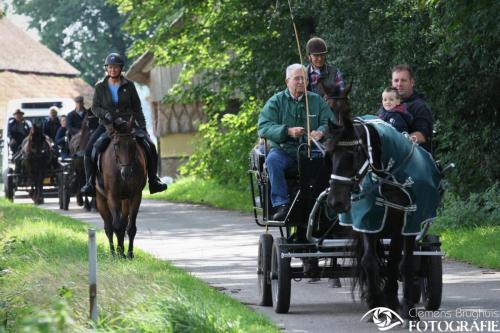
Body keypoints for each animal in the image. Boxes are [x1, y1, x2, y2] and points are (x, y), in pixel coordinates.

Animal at [94, 116, 146, 256]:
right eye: (116, 145)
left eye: (133, 144)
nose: (126, 173)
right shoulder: (113, 196)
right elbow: (115, 226)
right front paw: (119, 254)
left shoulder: (135, 196)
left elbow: (130, 227)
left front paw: (129, 254)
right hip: (101, 200)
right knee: (109, 227)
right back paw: (113, 253)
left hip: (125, 201)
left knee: (123, 224)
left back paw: (120, 251)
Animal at [326, 85, 440, 324]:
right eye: (330, 153)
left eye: (353, 152)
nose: (335, 201)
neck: (391, 177)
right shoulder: (369, 220)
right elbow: (371, 261)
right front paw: (375, 303)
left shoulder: (409, 222)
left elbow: (404, 263)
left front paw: (408, 309)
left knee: (395, 259)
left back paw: (394, 299)